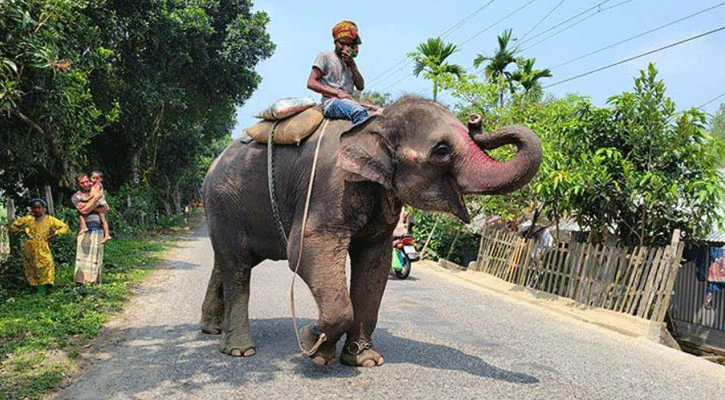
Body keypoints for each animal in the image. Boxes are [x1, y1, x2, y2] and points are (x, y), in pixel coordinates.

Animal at [201, 95, 540, 368]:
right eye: (442, 150)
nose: (475, 119)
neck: (376, 121)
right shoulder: (330, 185)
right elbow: (304, 249)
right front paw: (313, 344)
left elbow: (375, 261)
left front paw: (363, 360)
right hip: (222, 202)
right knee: (237, 265)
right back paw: (239, 350)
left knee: (225, 262)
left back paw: (211, 330)